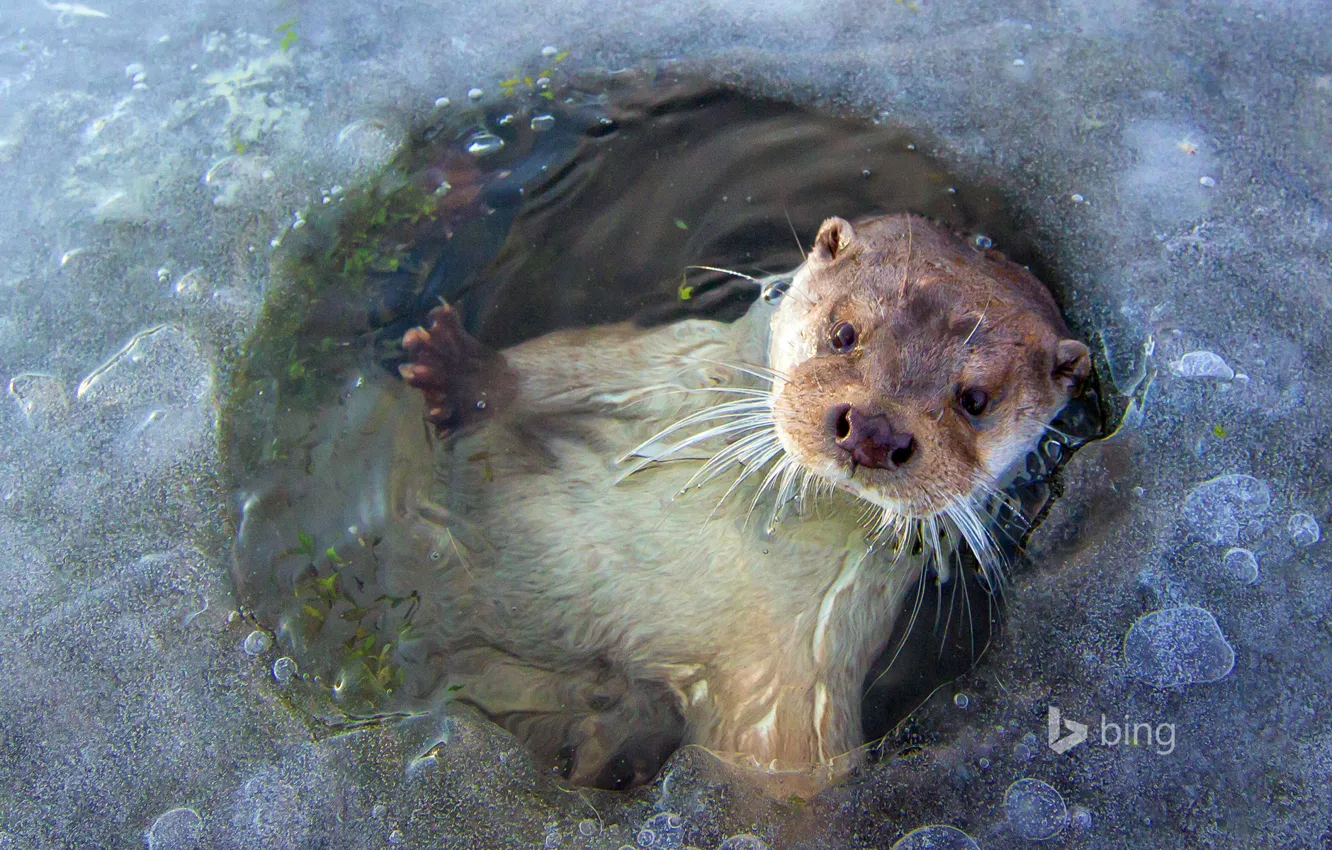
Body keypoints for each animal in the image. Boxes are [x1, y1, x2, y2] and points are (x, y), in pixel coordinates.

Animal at [395, 213, 1090, 792]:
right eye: (844, 333)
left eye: (975, 400)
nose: (875, 430)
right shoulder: (675, 360)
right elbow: (568, 362)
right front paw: (462, 370)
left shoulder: (802, 677)